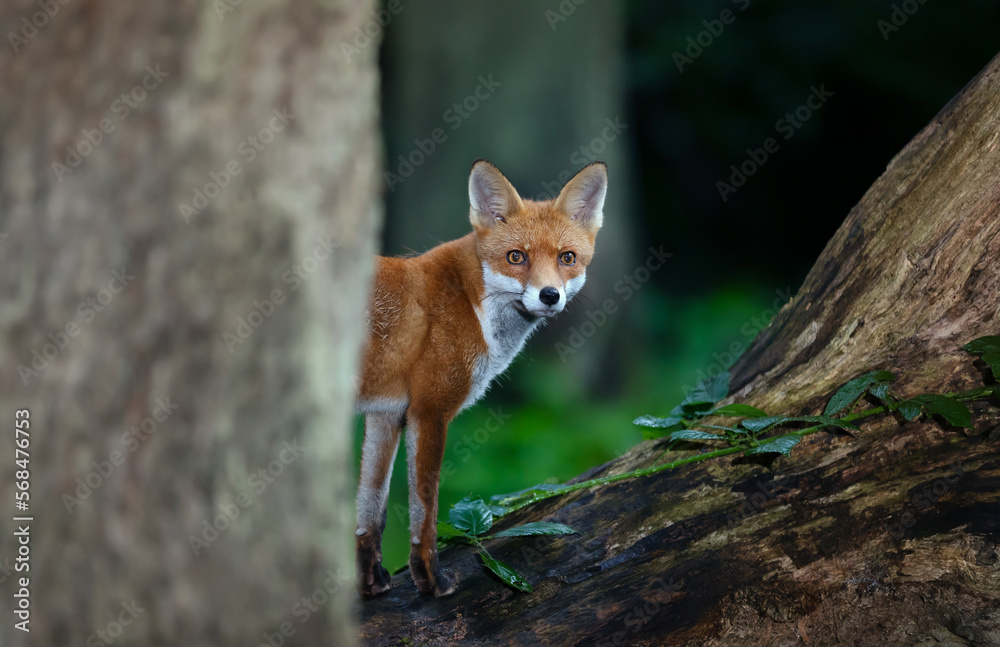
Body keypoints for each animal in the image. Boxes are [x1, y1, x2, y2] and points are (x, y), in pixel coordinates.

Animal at [355, 159, 607, 597]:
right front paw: (431, 580)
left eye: (567, 257)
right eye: (516, 257)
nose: (549, 295)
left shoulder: (385, 416)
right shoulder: (429, 411)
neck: (472, 304)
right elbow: (425, 507)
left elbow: (372, 510)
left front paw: (372, 582)